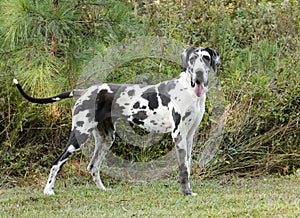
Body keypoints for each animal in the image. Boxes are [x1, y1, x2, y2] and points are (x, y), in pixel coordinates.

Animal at [13, 46, 220, 196]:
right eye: (192, 59)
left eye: (206, 58)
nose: (199, 74)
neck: (190, 90)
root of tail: (85, 91)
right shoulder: (178, 135)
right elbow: (183, 169)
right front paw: (186, 193)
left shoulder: (189, 136)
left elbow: (188, 166)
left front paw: (188, 190)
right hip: (79, 136)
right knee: (57, 163)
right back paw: (48, 190)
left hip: (106, 139)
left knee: (92, 166)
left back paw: (103, 190)